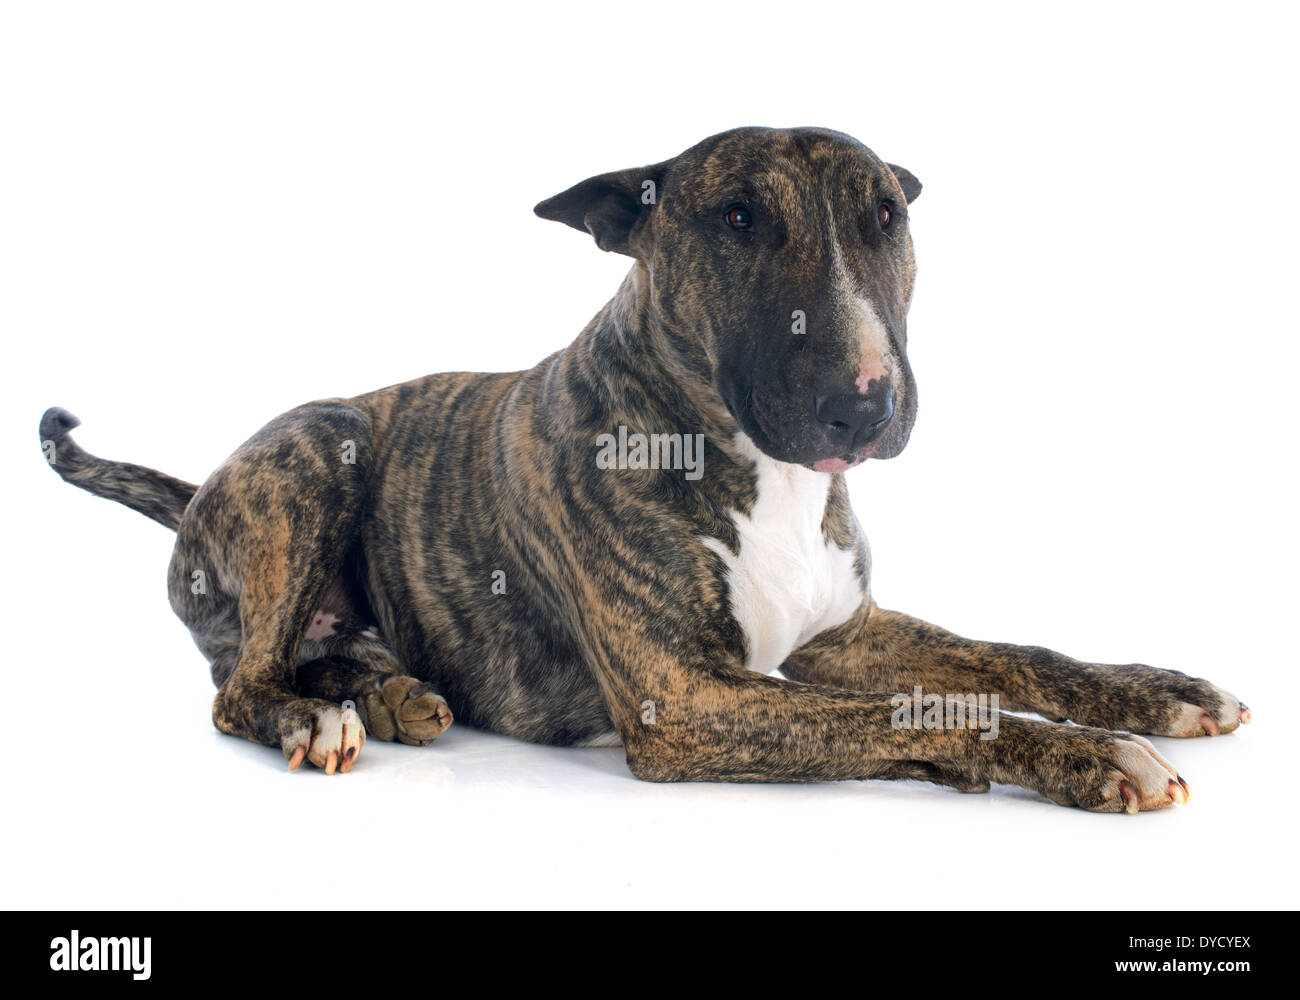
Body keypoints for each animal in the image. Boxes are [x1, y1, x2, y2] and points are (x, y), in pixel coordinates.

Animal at [43, 126, 1248, 811]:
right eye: (737, 217)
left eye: (886, 216)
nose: (869, 400)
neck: (763, 470)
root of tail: (198, 493)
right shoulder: (689, 699)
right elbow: (922, 710)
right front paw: (1090, 758)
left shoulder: (844, 632)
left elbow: (998, 655)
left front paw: (1159, 694)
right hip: (319, 444)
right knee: (239, 686)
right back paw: (317, 716)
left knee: (313, 659)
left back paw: (390, 696)